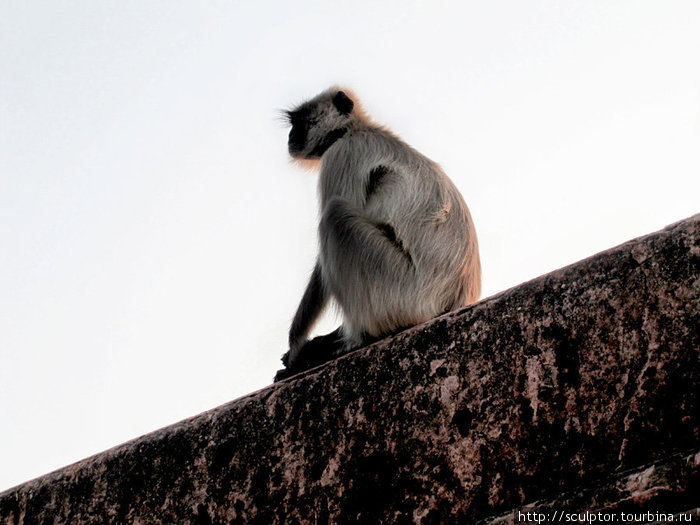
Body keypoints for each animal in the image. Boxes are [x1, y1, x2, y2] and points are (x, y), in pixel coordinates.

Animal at [274, 87, 482, 380]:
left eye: (300, 121)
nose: (291, 137)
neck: (354, 129)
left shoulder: (342, 154)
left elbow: (321, 269)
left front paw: (295, 347)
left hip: (398, 290)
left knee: (336, 215)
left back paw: (355, 339)